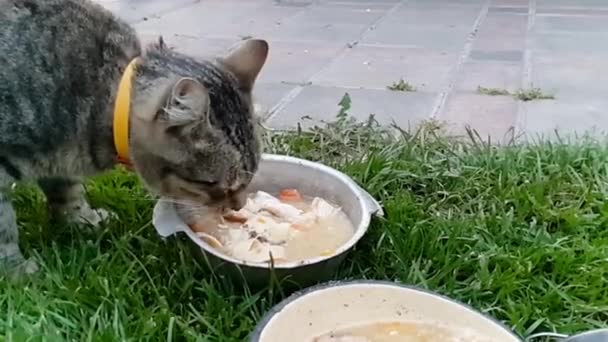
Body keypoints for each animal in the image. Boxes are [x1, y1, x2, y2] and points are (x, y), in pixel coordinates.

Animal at [0, 0, 266, 276]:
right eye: (210, 183)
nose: (239, 206)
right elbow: (4, 225)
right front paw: (16, 269)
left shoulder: (60, 165)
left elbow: (67, 193)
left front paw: (84, 220)